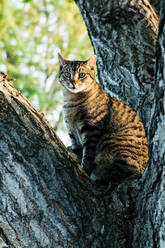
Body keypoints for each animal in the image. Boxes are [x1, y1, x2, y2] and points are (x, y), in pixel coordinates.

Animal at [58, 53, 148, 183]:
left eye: (82, 75)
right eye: (67, 74)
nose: (73, 82)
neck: (71, 101)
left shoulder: (91, 129)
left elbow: (88, 155)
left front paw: (84, 169)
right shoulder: (71, 131)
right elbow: (77, 148)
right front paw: (76, 156)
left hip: (112, 142)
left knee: (120, 174)